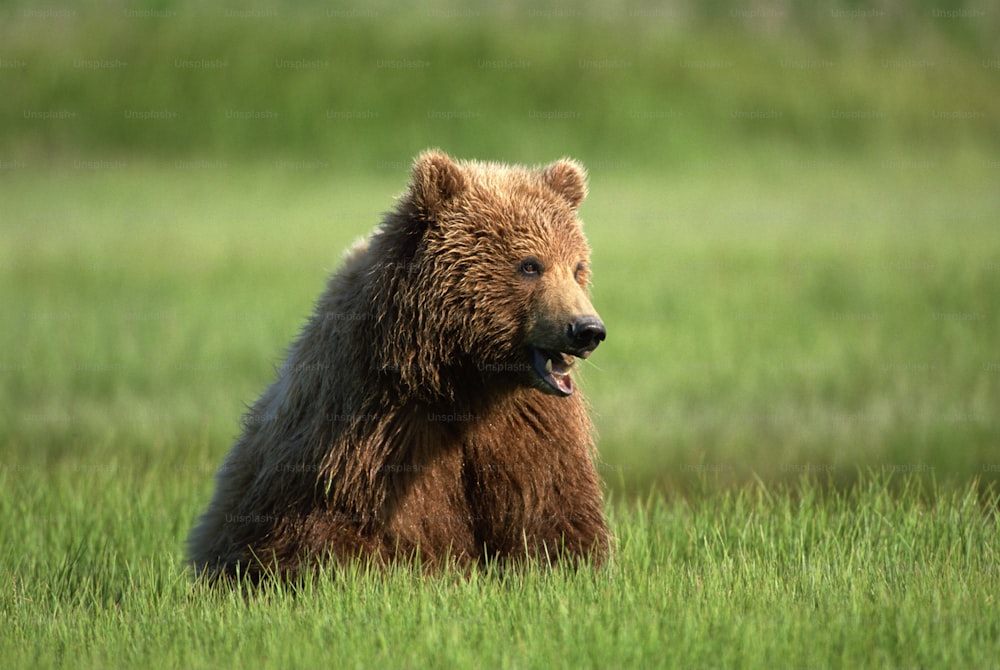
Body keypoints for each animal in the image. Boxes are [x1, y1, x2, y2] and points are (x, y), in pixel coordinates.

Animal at [188, 150, 608, 580]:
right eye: (530, 265)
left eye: (577, 267)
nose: (587, 329)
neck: (465, 375)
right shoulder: (376, 424)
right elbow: (356, 523)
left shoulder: (527, 424)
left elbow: (548, 507)